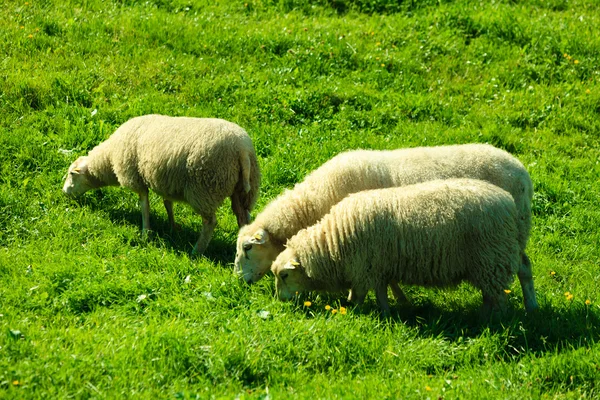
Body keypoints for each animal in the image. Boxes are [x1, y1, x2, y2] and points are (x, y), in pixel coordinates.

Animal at [62, 114, 260, 255]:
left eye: (71, 174)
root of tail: (241, 149)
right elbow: (168, 203)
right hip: (243, 190)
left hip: (205, 187)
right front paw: (173, 227)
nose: (64, 192)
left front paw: (146, 232)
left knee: (210, 223)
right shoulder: (166, 181)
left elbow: (144, 205)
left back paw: (196, 251)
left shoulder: (136, 178)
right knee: (243, 218)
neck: (109, 158)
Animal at [270, 179, 524, 316]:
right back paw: (485, 315)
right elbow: (380, 292)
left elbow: (363, 294)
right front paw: (386, 312)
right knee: (492, 294)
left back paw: (493, 321)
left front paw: (356, 311)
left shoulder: (367, 267)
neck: (332, 242)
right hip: (489, 261)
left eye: (284, 275)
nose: (279, 300)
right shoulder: (377, 267)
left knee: (498, 297)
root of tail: (507, 201)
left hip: (491, 258)